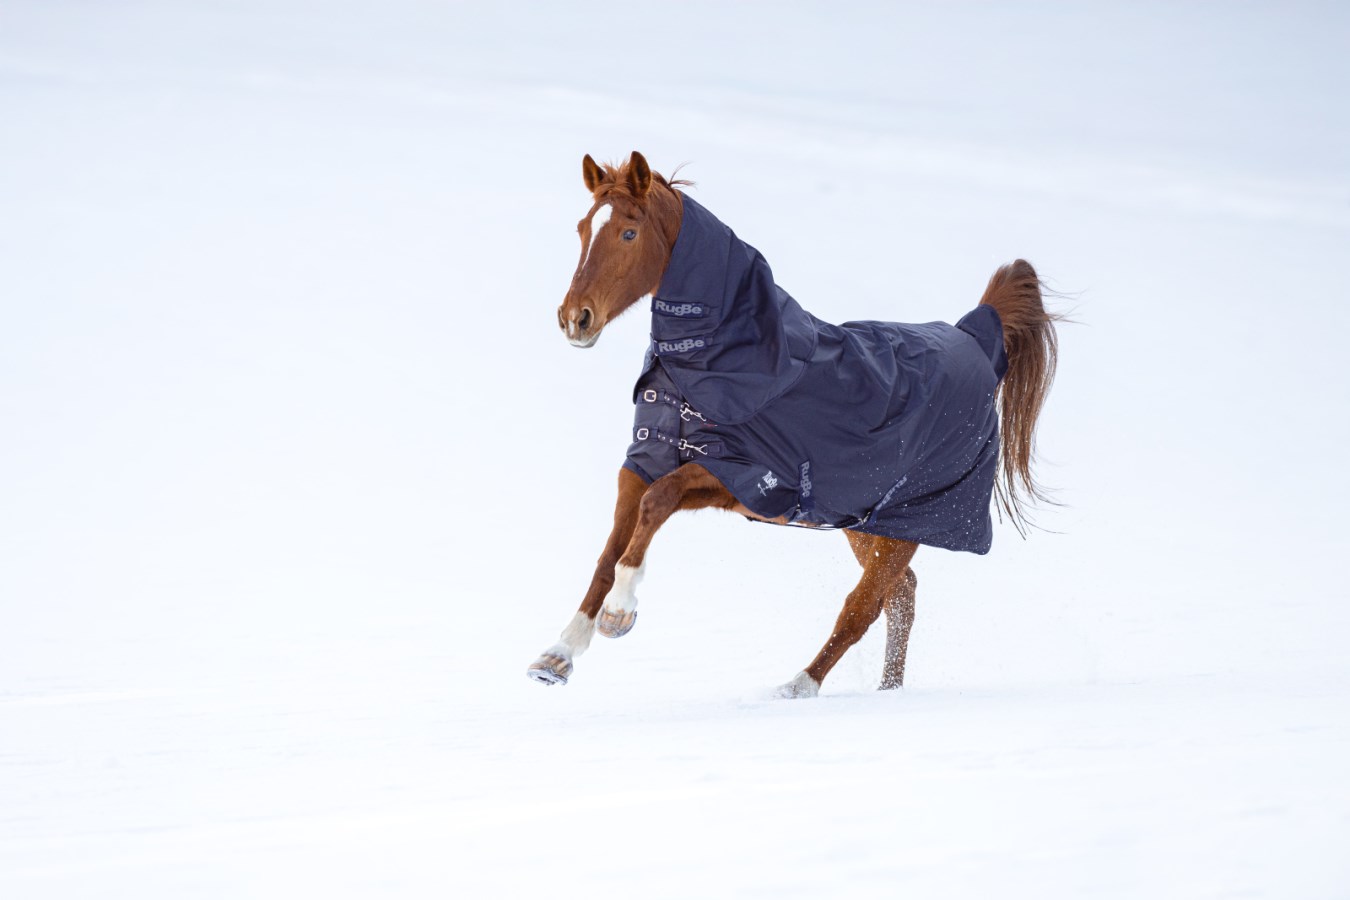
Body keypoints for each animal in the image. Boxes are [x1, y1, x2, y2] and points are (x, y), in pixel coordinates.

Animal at [527, 151, 1058, 698]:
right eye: (583, 228)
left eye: (629, 233)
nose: (574, 319)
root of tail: (975, 343)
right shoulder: (645, 460)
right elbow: (610, 551)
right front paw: (559, 655)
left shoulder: (744, 475)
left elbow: (657, 505)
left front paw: (620, 613)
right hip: (866, 524)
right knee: (902, 596)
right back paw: (886, 691)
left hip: (911, 522)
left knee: (865, 606)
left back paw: (798, 687)